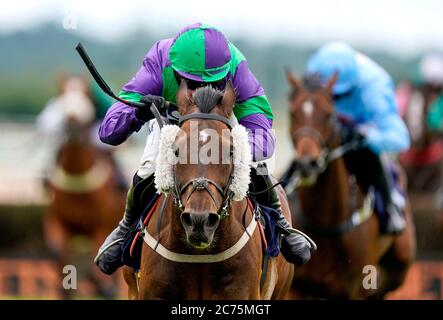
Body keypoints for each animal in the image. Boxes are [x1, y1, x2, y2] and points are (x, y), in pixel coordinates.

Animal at [42, 76, 125, 298]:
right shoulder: (59, 223)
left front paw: (103, 286)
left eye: (86, 95)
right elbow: (57, 254)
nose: (72, 121)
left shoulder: (100, 226)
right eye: (62, 93)